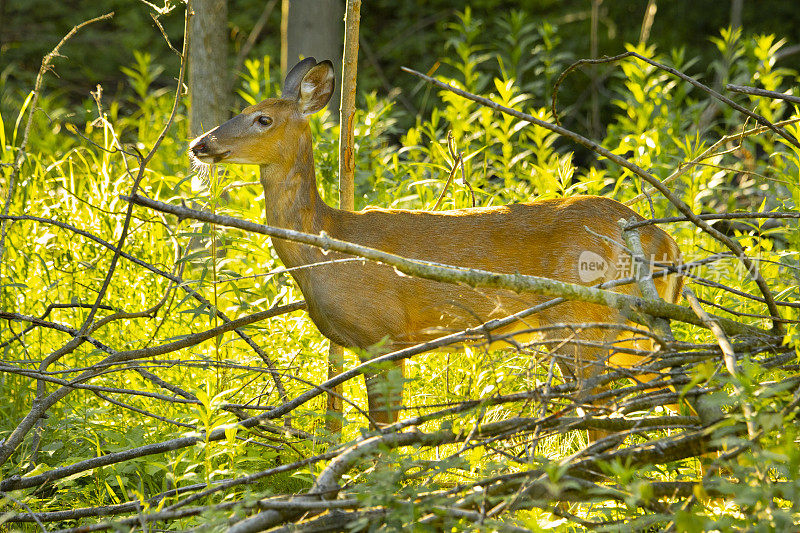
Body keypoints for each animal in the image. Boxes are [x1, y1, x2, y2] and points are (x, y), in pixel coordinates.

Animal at [189, 58, 680, 432]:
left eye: (263, 118)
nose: (199, 144)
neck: (326, 247)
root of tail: (664, 241)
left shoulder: (384, 332)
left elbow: (381, 433)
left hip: (586, 321)